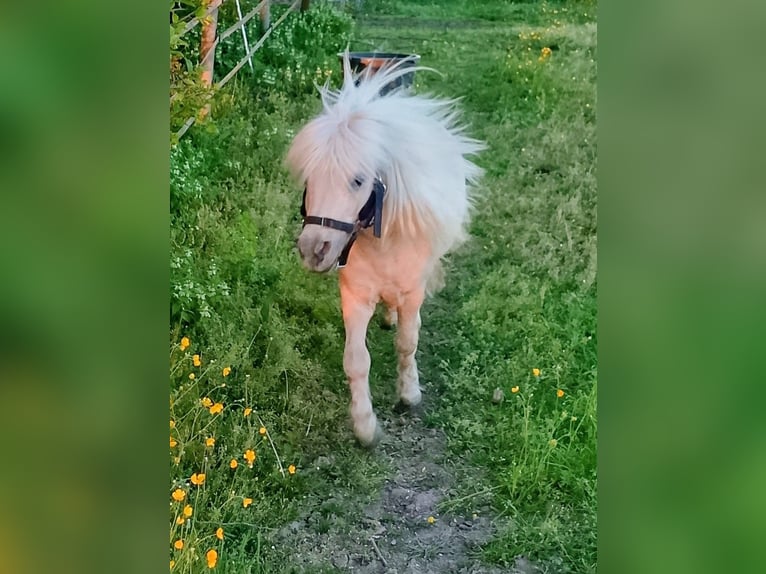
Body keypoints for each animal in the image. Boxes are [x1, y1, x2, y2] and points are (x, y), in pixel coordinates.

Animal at [286, 55, 483, 446]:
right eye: (309, 178)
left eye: (358, 180)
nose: (314, 250)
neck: (383, 242)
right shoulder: (355, 295)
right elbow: (356, 360)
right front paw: (365, 426)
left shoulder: (413, 291)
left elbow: (407, 343)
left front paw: (409, 395)